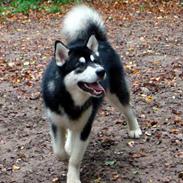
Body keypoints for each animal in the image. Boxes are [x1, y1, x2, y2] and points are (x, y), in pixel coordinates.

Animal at [41, 4, 142, 183]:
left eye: (95, 61)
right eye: (80, 65)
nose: (101, 71)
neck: (69, 99)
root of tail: (101, 40)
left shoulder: (85, 127)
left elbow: (75, 158)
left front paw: (72, 177)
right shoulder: (56, 122)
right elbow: (59, 152)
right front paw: (65, 154)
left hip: (116, 92)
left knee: (128, 109)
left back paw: (134, 129)